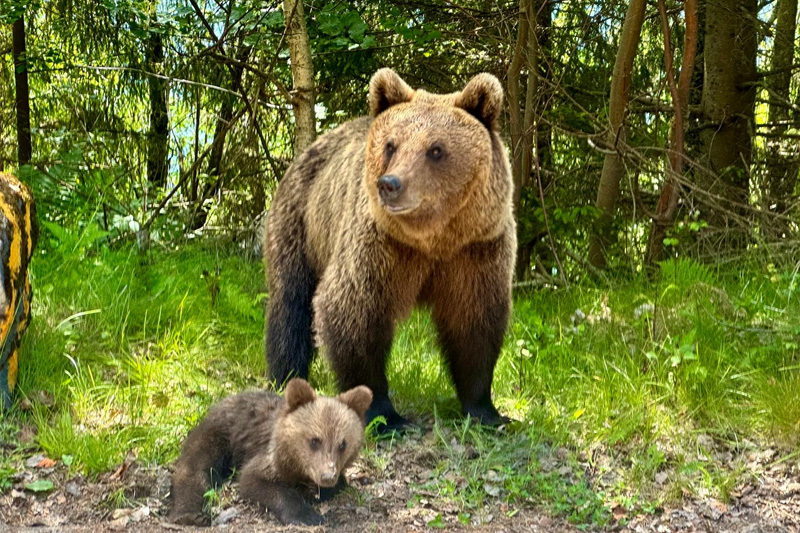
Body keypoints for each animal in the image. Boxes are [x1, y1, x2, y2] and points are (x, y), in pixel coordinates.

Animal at [168, 378, 372, 524]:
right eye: (315, 440)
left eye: (343, 444)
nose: (327, 476)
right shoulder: (270, 457)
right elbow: (255, 481)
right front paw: (307, 515)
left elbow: (339, 484)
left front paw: (316, 491)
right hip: (221, 434)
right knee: (196, 467)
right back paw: (190, 514)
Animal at [266, 66, 516, 432]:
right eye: (391, 145)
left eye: (436, 149)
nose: (390, 184)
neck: (432, 240)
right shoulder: (380, 247)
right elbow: (354, 312)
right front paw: (385, 415)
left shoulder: (475, 251)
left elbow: (474, 323)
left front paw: (487, 411)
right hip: (301, 224)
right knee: (290, 304)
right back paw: (284, 378)